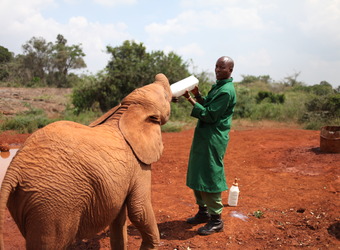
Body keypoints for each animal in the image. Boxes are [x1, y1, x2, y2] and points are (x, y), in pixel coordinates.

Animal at [0, 73, 171, 249]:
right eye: (166, 96)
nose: (159, 74)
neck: (127, 110)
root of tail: (15, 169)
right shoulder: (139, 165)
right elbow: (139, 210)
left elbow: (118, 218)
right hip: (52, 204)